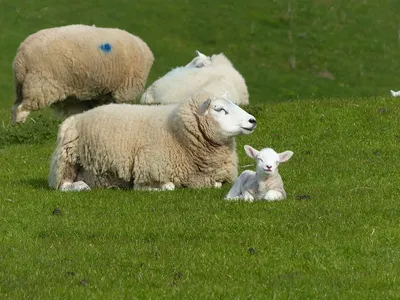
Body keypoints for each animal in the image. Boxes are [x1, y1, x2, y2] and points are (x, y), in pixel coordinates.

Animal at [10, 23, 155, 124]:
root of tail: (21, 58)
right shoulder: (125, 90)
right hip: (40, 85)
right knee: (22, 108)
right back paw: (20, 124)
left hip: (22, 87)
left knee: (15, 107)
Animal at [48, 89, 258, 192]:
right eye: (219, 109)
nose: (252, 120)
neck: (178, 134)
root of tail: (74, 119)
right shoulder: (149, 170)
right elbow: (168, 186)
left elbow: (216, 184)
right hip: (67, 160)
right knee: (63, 185)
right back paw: (81, 186)